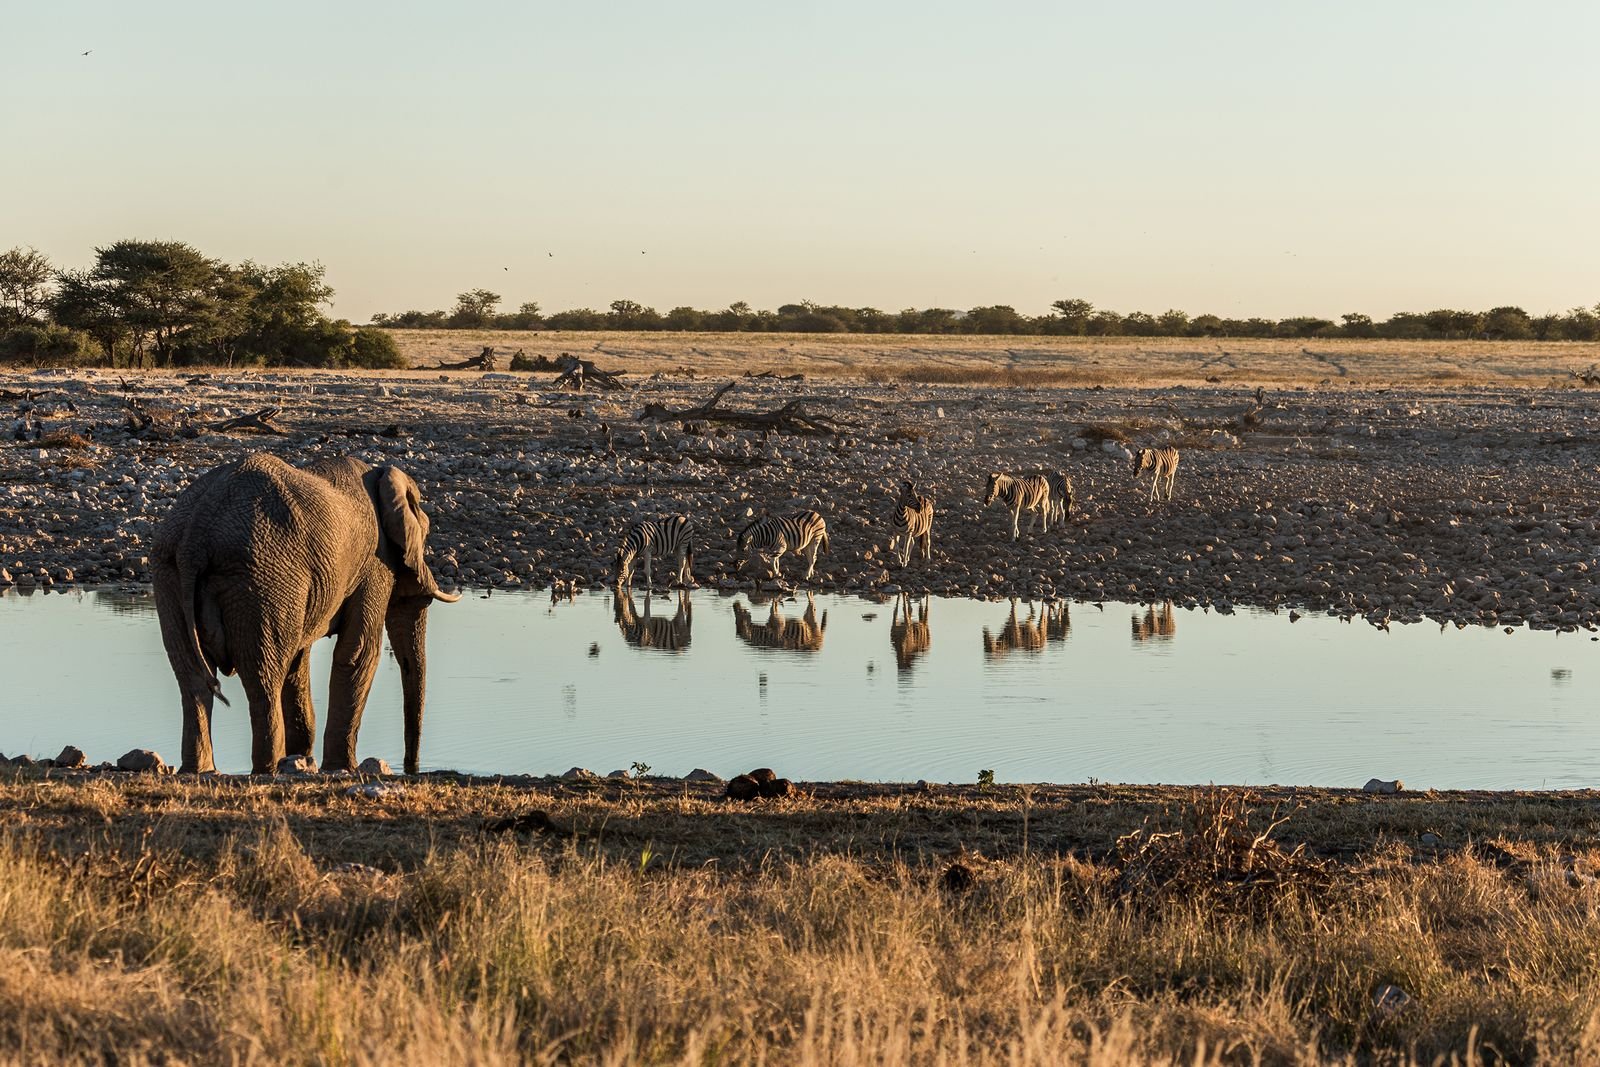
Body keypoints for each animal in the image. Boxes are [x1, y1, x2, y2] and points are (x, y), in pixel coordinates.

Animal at [152, 453, 459, 775]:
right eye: (427, 532)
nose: (412, 768)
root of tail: (196, 535)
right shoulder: (375, 563)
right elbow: (359, 651)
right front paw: (342, 768)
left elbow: (299, 661)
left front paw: (303, 758)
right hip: (261, 578)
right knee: (263, 677)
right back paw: (269, 768)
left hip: (170, 574)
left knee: (193, 678)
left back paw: (202, 770)